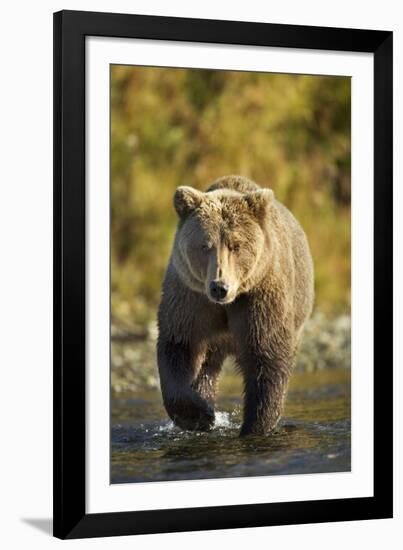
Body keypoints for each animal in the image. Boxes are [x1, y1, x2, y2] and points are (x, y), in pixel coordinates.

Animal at [156, 176, 314, 436]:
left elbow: (266, 356)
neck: (227, 304)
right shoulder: (190, 297)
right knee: (207, 366)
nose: (219, 287)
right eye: (205, 245)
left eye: (236, 245)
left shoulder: (259, 297)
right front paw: (199, 415)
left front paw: (255, 426)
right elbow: (179, 345)